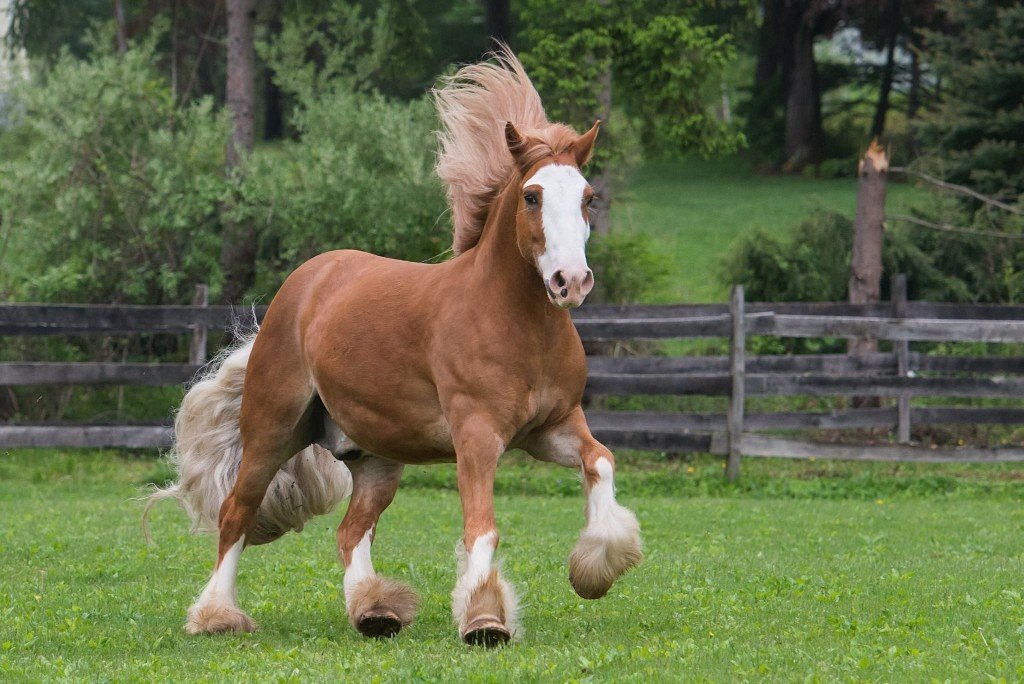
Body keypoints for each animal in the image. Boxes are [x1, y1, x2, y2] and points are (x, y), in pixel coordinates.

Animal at [146, 49, 638, 647]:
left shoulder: (554, 426)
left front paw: (594, 569)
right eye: (531, 196)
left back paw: (374, 612)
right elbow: (482, 527)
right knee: (236, 513)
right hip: (271, 430)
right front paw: (485, 619)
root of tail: (303, 285)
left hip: (377, 457)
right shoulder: (477, 436)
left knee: (351, 530)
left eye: (589, 198)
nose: (571, 281)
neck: (516, 326)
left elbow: (602, 462)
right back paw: (217, 615)